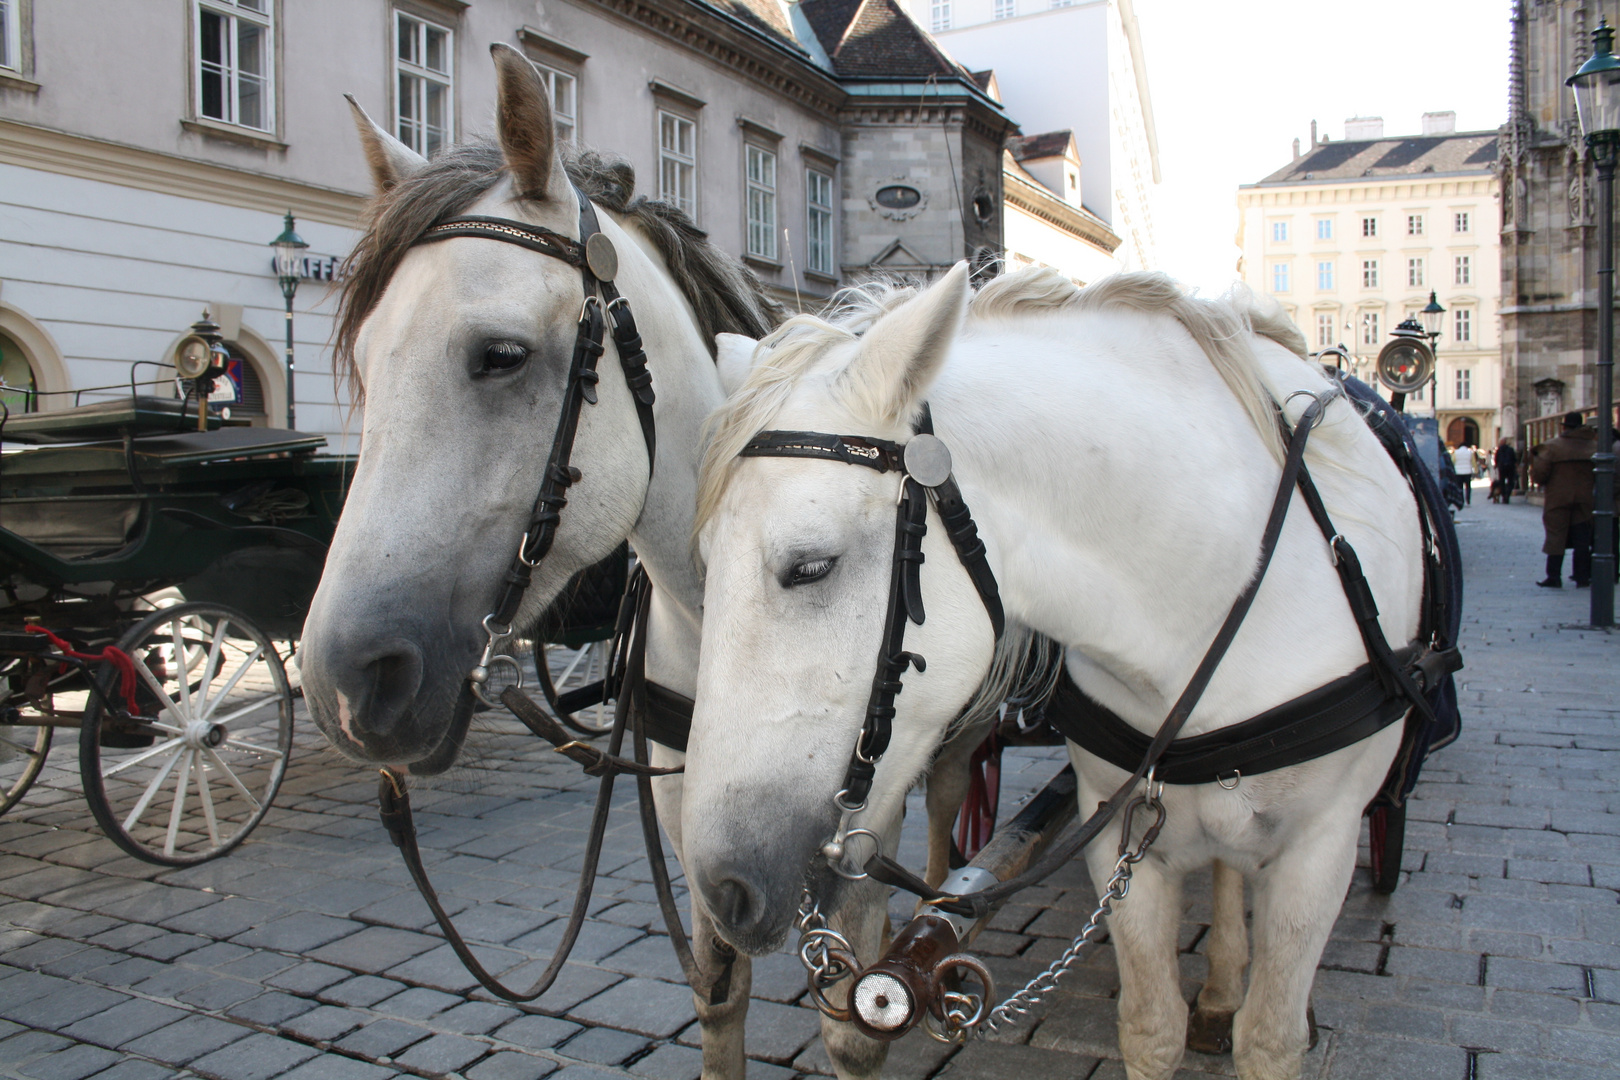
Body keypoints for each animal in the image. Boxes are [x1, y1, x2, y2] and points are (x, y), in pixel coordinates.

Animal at [298, 48, 959, 1080]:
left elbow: (854, 1025)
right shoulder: (694, 799)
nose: (339, 682)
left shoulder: (857, 820)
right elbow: (718, 997)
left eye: (500, 355)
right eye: (364, 361)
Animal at [690, 263, 1425, 1080]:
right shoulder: (1119, 835)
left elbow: (1269, 1038)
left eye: (811, 566)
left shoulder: (1318, 853)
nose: (722, 890)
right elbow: (1151, 1027)